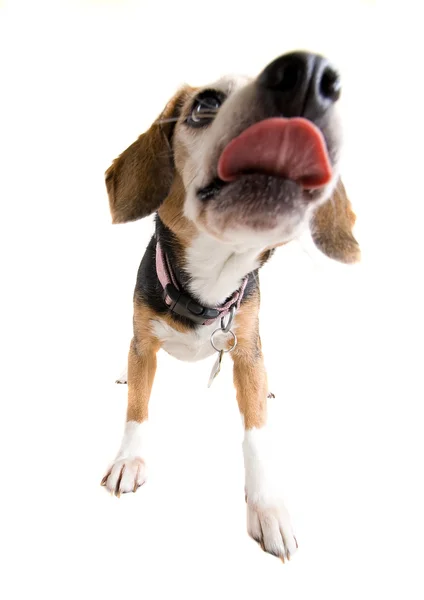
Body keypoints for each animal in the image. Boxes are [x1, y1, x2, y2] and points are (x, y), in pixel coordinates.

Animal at [101, 51, 360, 564]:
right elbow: (136, 408)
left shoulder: (246, 348)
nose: (309, 74)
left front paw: (268, 507)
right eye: (205, 104)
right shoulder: (143, 343)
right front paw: (128, 460)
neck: (207, 285)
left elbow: (256, 434)